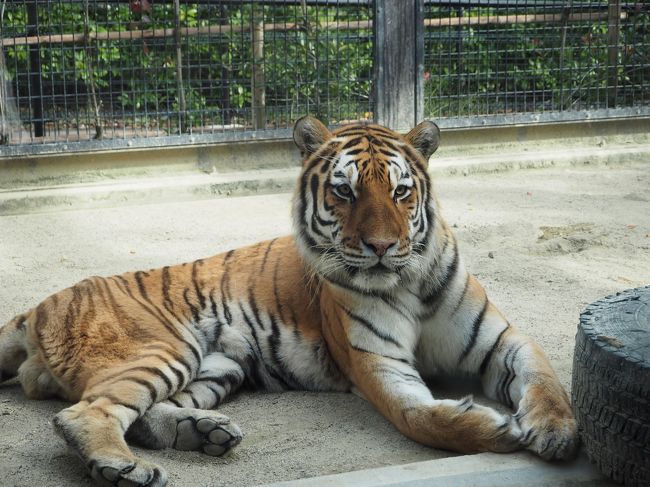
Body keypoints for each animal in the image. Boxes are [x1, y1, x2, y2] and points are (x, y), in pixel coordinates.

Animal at [0, 118, 576, 487]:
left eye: (400, 192)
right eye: (344, 192)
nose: (383, 247)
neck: (409, 281)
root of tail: (36, 308)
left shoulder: (503, 341)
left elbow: (545, 379)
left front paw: (556, 431)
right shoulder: (378, 365)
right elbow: (421, 417)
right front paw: (496, 429)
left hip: (218, 367)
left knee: (142, 415)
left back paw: (206, 433)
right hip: (163, 350)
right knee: (83, 413)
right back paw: (124, 469)